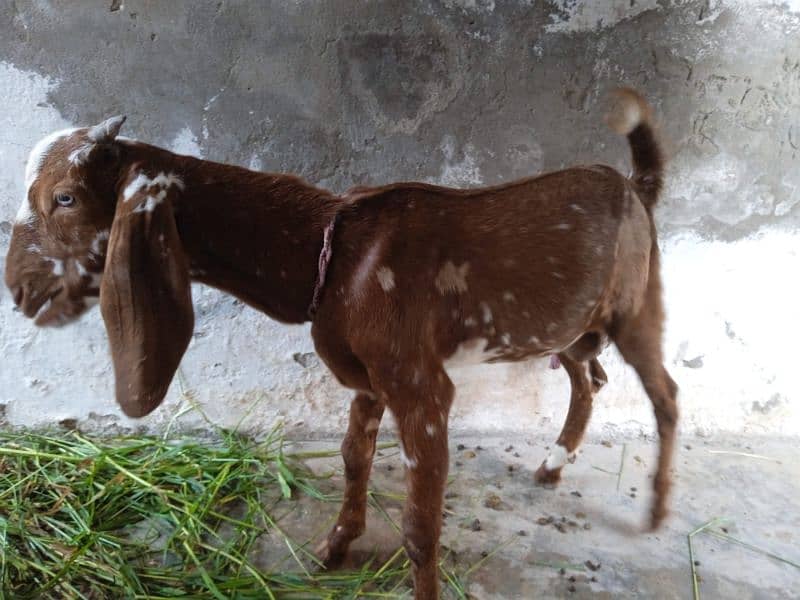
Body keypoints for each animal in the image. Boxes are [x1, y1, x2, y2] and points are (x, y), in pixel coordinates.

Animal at [6, 86, 680, 596]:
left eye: (64, 197)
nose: (18, 287)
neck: (331, 251)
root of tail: (636, 185)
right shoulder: (366, 379)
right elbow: (355, 458)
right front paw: (333, 548)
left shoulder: (419, 387)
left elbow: (420, 527)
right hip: (568, 326)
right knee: (589, 376)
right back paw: (552, 465)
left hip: (638, 303)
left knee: (665, 394)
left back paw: (655, 512)